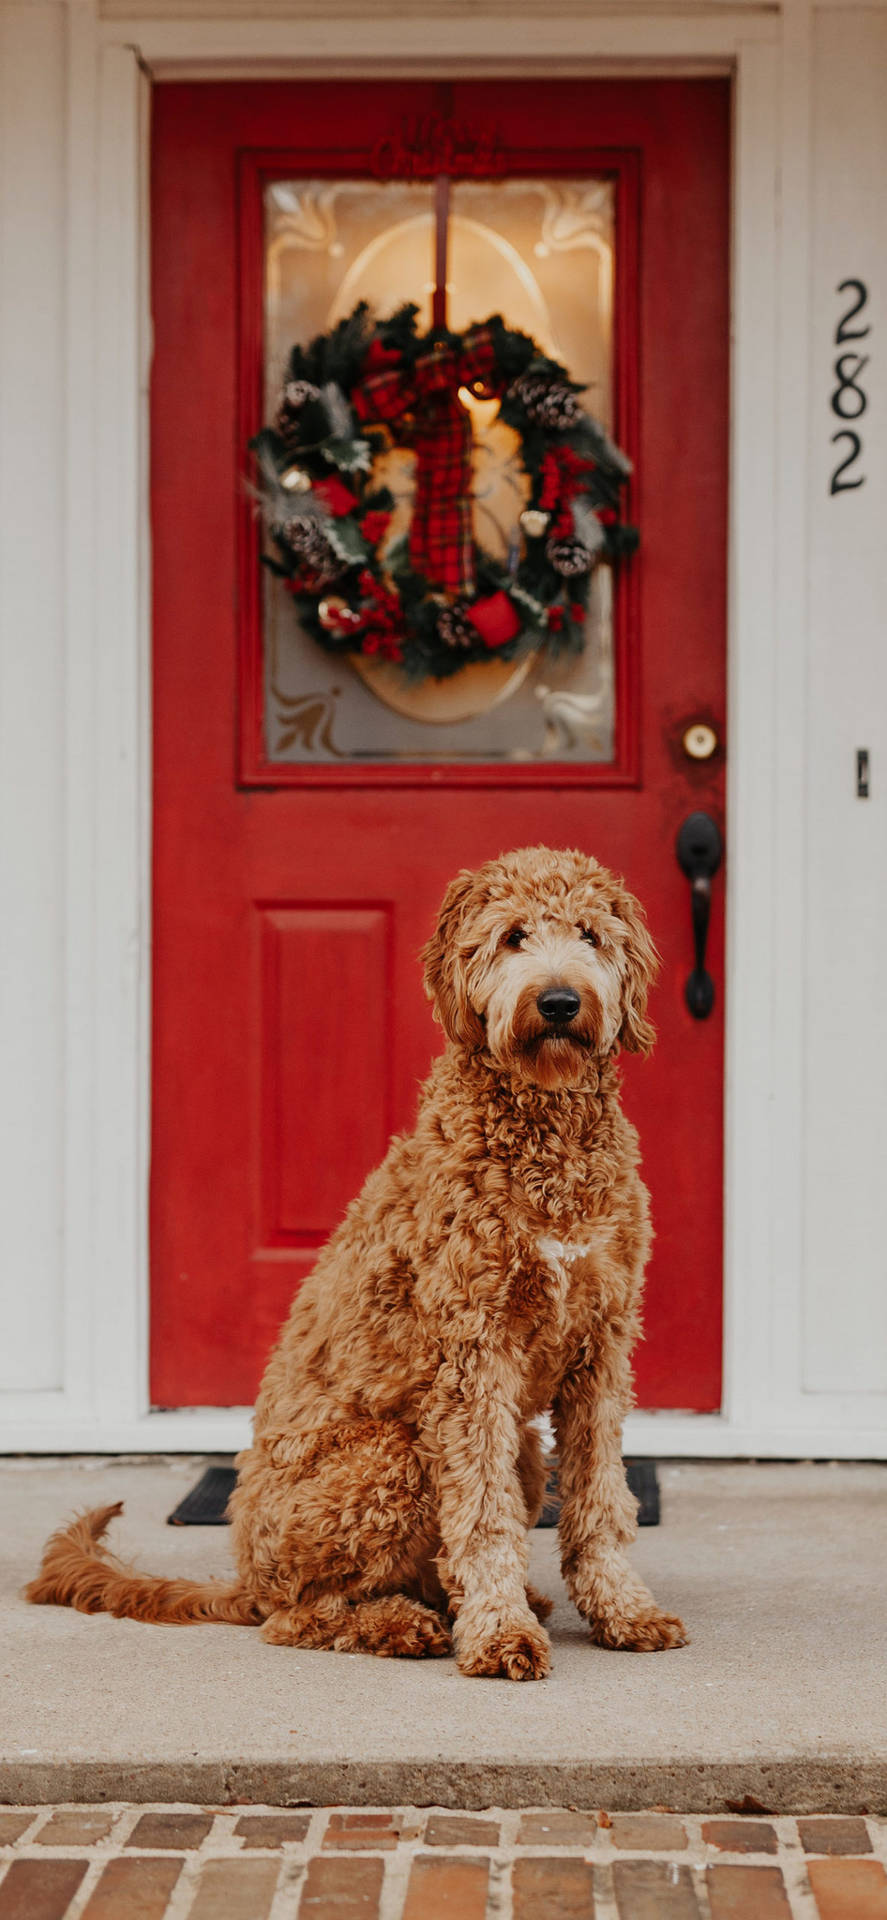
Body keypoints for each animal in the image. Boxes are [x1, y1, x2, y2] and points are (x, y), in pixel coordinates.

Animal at [26, 852, 687, 1681]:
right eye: (512, 936)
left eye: (590, 935)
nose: (560, 1001)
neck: (546, 1133)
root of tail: (244, 1577)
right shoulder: (471, 1357)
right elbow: (481, 1518)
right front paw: (498, 1635)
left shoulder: (600, 1345)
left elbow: (600, 1499)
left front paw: (622, 1612)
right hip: (392, 1457)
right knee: (302, 1615)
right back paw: (401, 1623)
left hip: (524, 1451)